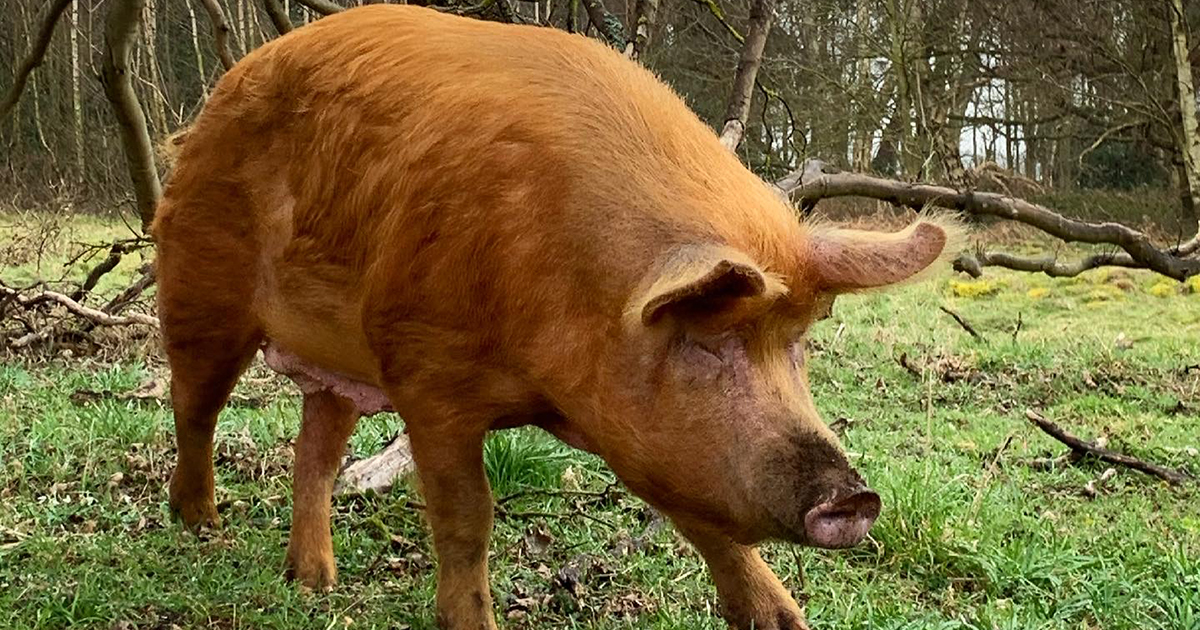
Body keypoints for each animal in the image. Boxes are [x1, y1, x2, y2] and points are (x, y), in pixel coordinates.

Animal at [152, 5, 959, 629]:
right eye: (705, 345)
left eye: (797, 345)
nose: (854, 497)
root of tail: (214, 101)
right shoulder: (425, 371)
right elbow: (467, 516)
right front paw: (472, 622)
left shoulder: (653, 437)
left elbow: (709, 520)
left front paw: (786, 620)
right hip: (200, 284)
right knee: (194, 405)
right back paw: (201, 525)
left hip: (339, 364)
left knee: (312, 451)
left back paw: (316, 582)